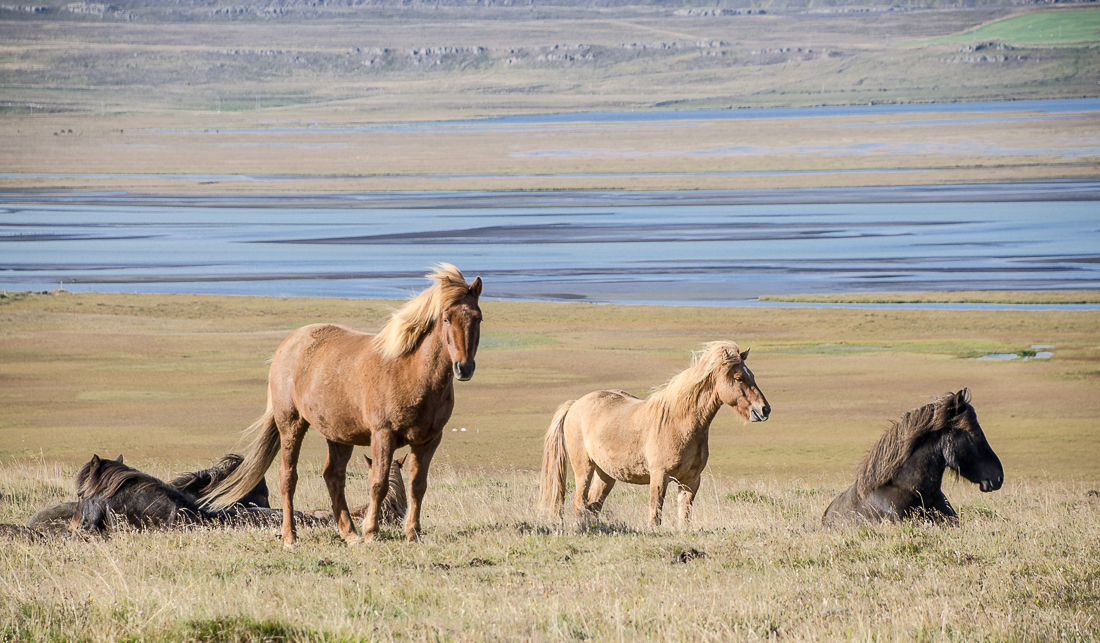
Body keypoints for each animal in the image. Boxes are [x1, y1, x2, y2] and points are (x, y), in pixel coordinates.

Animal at [539, 342, 765, 529]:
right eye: (738, 378)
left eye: (753, 376)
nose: (764, 409)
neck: (679, 424)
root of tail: (574, 404)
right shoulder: (659, 476)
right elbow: (655, 514)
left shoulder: (691, 481)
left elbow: (684, 517)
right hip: (584, 468)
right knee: (579, 502)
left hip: (605, 474)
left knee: (593, 506)